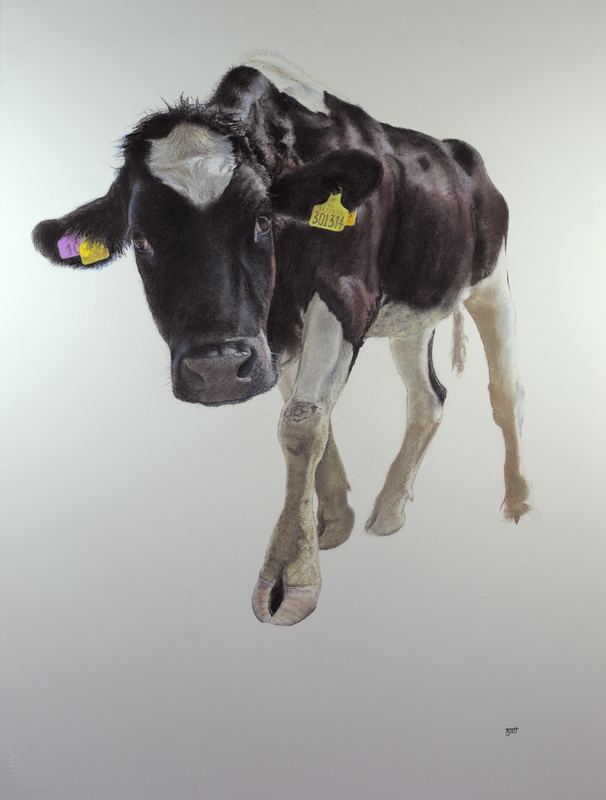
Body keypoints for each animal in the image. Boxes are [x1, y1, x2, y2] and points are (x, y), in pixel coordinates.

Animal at [32, 54, 531, 626]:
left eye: (262, 219)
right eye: (140, 239)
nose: (218, 369)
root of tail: (460, 152)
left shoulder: (345, 296)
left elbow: (302, 423)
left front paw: (289, 578)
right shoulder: (272, 339)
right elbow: (316, 418)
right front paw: (332, 523)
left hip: (492, 282)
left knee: (506, 392)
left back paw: (517, 502)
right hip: (417, 309)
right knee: (428, 398)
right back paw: (389, 511)